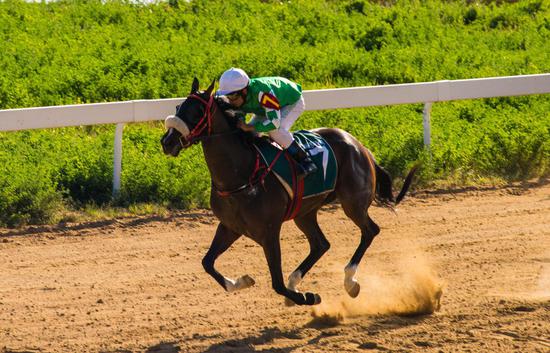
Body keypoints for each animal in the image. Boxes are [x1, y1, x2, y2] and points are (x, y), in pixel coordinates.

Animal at [161, 78, 418, 304]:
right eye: (178, 107)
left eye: (196, 112)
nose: (167, 141)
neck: (241, 176)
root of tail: (360, 146)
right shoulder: (230, 227)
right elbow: (207, 263)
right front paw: (241, 282)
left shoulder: (269, 231)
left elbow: (277, 283)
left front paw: (308, 297)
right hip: (305, 213)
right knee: (321, 244)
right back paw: (297, 280)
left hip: (353, 203)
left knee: (369, 231)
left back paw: (349, 281)